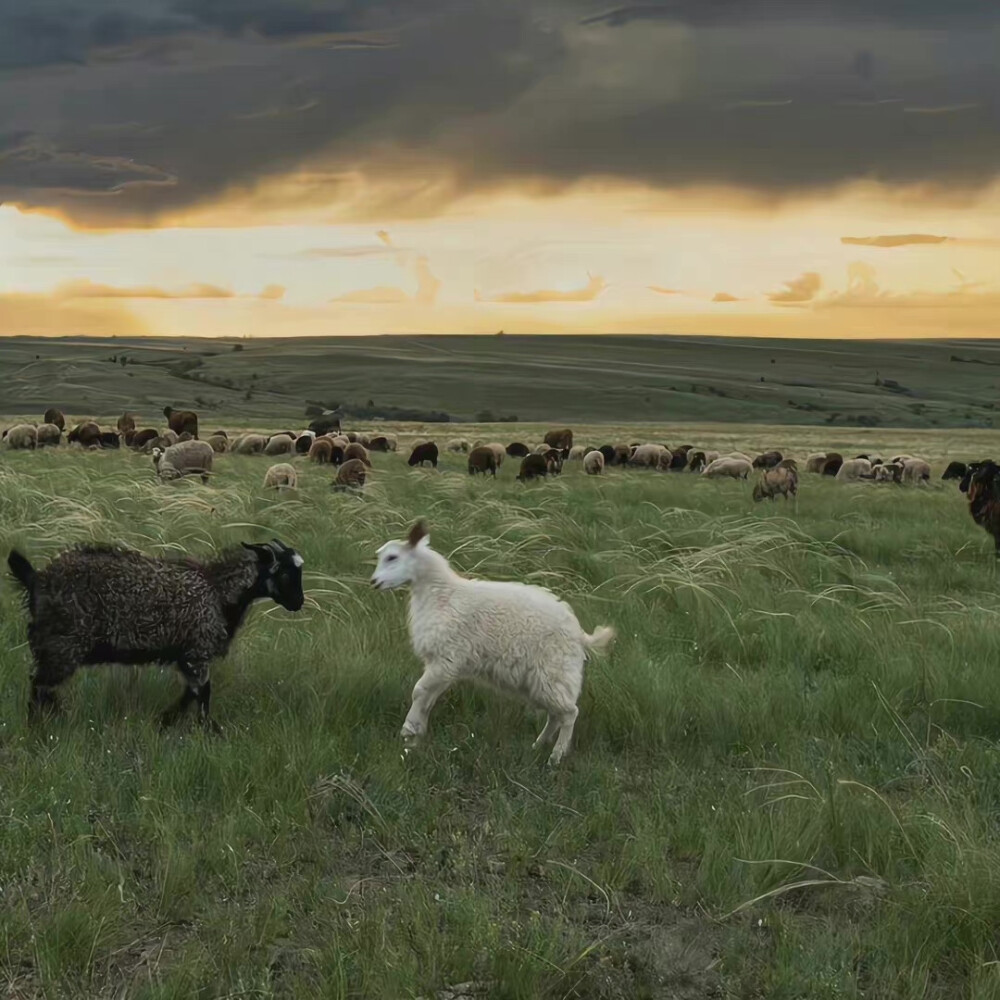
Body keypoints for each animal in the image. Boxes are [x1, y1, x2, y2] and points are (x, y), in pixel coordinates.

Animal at [7, 540, 302, 728]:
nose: (299, 603)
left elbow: (193, 693)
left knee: (41, 687)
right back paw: (38, 727)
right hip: (62, 645)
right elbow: (202, 693)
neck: (219, 591)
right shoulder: (197, 651)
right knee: (39, 686)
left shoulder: (187, 656)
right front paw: (205, 729)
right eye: (285, 572)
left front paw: (168, 722)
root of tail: (36, 578)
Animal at [372, 524, 612, 764]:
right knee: (556, 715)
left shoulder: (446, 658)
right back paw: (538, 746)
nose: (374, 582)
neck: (441, 595)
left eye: (392, 557)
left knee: (570, 713)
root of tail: (580, 634)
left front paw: (408, 731)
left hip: (555, 673)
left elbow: (418, 691)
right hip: (541, 681)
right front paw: (415, 737)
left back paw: (555, 756)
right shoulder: (444, 666)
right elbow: (427, 699)